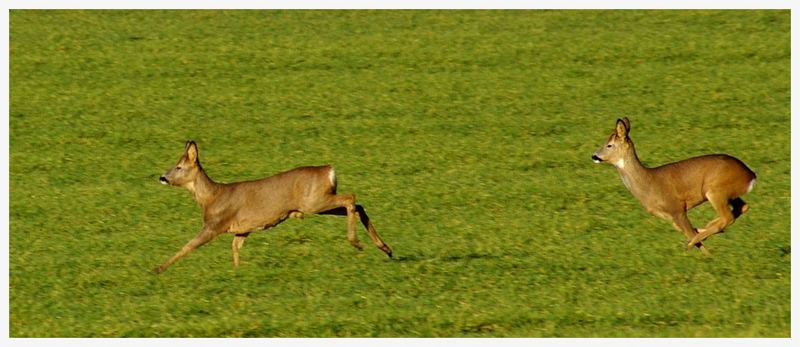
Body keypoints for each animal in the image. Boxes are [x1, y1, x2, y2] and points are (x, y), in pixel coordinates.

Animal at [155, 141, 392, 274]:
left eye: (179, 166)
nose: (162, 177)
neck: (211, 197)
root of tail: (329, 170)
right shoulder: (242, 229)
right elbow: (235, 248)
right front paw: (237, 272)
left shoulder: (215, 224)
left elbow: (188, 246)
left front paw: (158, 269)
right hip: (320, 202)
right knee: (357, 205)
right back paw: (385, 248)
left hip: (315, 201)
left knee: (350, 198)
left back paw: (358, 243)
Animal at [592, 119, 756, 256]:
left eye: (609, 145)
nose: (594, 156)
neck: (649, 183)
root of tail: (751, 175)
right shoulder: (672, 215)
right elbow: (680, 228)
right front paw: (700, 235)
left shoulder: (677, 208)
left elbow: (689, 233)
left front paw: (706, 254)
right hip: (728, 193)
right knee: (742, 207)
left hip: (715, 190)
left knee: (727, 217)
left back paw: (695, 241)